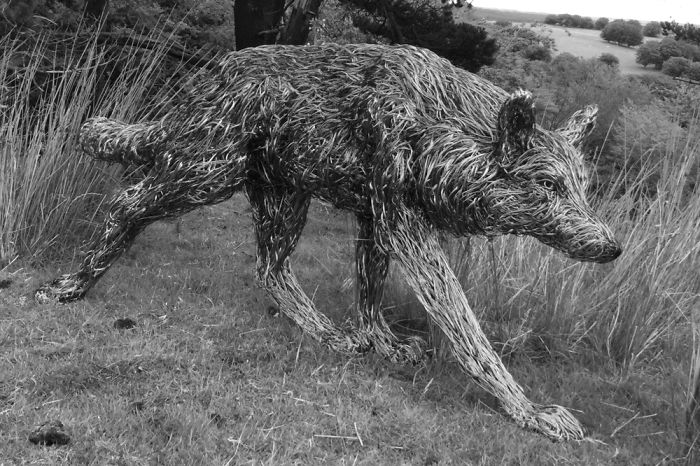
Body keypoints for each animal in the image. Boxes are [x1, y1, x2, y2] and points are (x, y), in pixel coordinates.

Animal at [35, 43, 621, 441]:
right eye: (550, 186)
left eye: (584, 188)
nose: (611, 247)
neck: (442, 125)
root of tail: (203, 83)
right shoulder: (402, 226)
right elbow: (467, 329)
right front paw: (529, 411)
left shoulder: (376, 219)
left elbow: (370, 294)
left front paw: (381, 342)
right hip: (205, 173)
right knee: (126, 202)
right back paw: (72, 285)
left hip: (282, 198)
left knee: (270, 271)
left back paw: (329, 334)